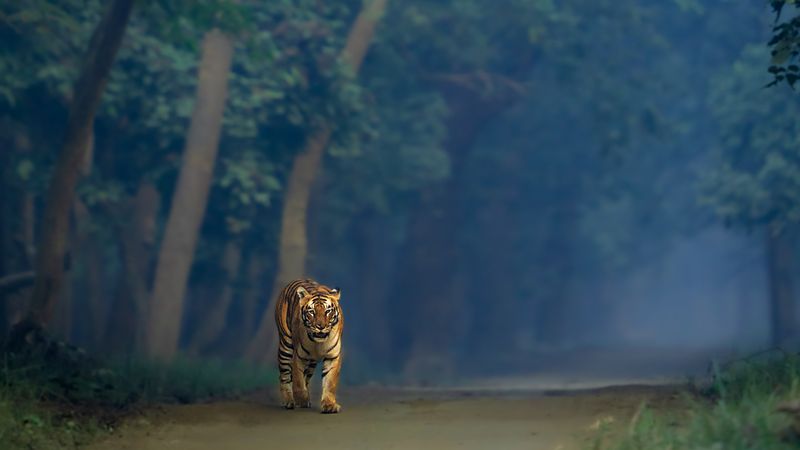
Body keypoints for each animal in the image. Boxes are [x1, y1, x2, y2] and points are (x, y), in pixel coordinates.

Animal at [275, 278, 343, 413]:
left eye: (328, 311)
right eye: (312, 312)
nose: (320, 326)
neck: (318, 343)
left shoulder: (332, 356)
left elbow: (330, 382)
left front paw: (329, 405)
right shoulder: (298, 357)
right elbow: (298, 381)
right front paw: (301, 399)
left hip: (311, 362)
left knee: (306, 377)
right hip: (286, 346)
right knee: (284, 376)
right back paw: (289, 401)